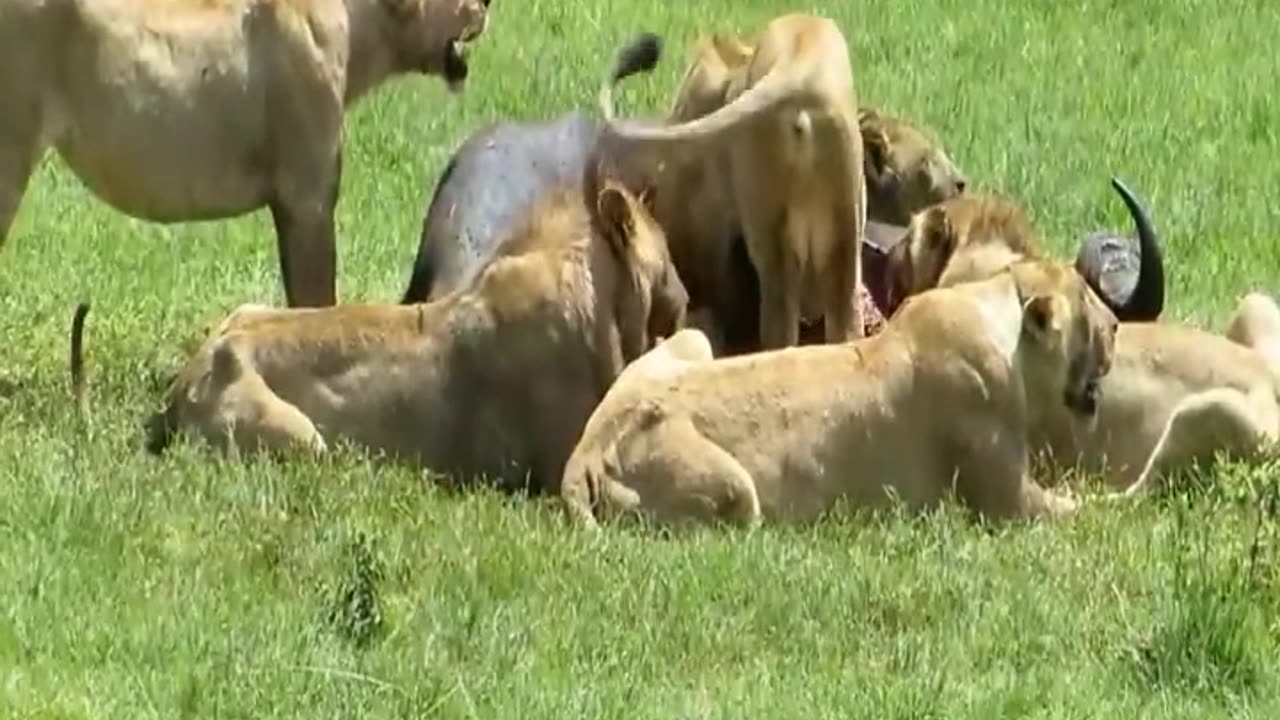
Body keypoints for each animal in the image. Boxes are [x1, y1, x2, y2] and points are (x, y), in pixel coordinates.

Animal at [563, 257, 1121, 527]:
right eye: (1085, 299)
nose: (1116, 325)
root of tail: (585, 451)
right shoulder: (1009, 501)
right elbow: (1097, 510)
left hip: (691, 341)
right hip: (735, 489)